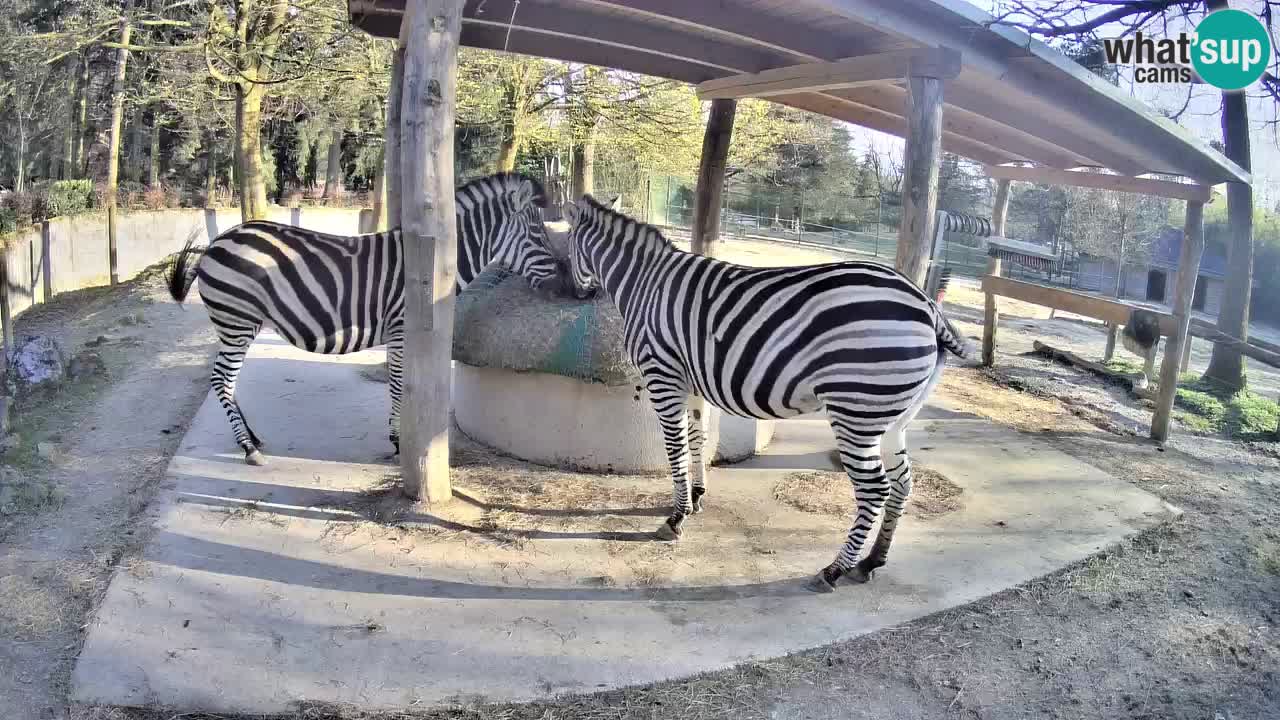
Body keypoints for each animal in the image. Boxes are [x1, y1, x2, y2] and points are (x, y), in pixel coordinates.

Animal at [167, 172, 561, 466]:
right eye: (538, 234)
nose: (565, 283)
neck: (435, 265)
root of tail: (216, 242)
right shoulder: (402, 327)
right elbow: (399, 383)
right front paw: (399, 441)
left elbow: (405, 383)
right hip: (238, 321)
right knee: (221, 379)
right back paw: (249, 448)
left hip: (237, 324)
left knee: (227, 381)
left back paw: (252, 438)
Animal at [560, 194, 969, 593]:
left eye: (566, 246)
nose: (575, 294)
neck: (643, 282)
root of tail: (928, 307)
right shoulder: (690, 381)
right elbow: (697, 437)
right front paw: (696, 497)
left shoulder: (662, 375)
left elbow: (676, 447)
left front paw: (675, 519)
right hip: (892, 416)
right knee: (903, 481)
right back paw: (871, 562)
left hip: (857, 412)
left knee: (875, 490)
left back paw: (833, 570)